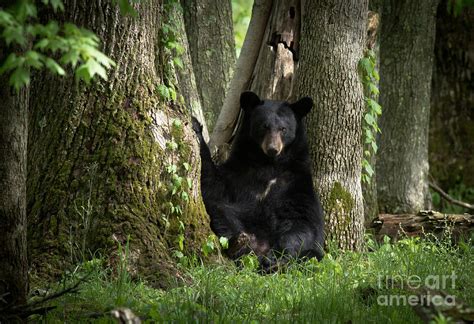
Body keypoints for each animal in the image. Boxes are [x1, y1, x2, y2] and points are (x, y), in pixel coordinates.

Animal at [192, 91, 322, 270]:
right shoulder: (238, 174)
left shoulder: (295, 181)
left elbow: (301, 221)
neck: (268, 164)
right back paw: (238, 245)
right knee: (221, 212)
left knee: (312, 254)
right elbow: (213, 186)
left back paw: (272, 261)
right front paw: (195, 126)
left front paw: (280, 255)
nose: (273, 149)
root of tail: (259, 248)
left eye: (283, 129)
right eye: (264, 126)